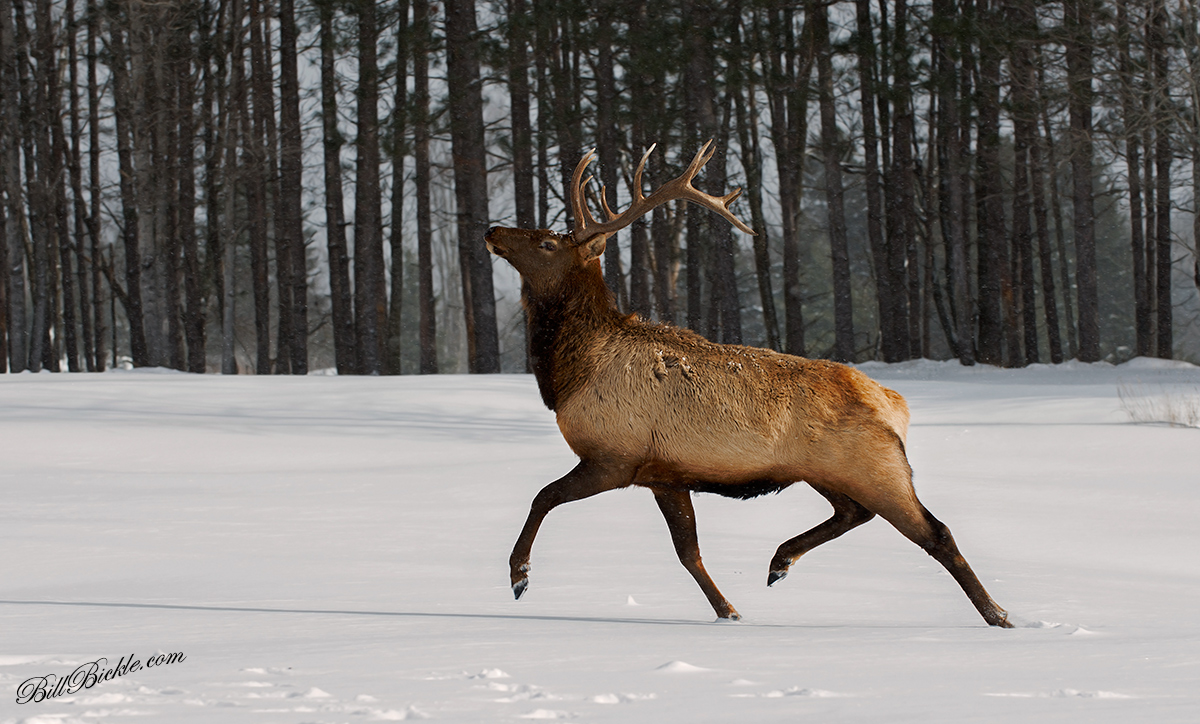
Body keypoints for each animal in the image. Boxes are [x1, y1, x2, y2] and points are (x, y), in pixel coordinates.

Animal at [484, 142, 1012, 628]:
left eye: (548, 243)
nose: (492, 230)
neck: (569, 373)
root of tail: (894, 403)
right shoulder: (664, 474)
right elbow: (688, 552)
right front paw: (729, 611)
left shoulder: (615, 456)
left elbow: (543, 496)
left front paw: (519, 575)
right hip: (829, 470)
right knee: (853, 513)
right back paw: (780, 561)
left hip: (875, 466)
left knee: (935, 532)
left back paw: (1000, 614)